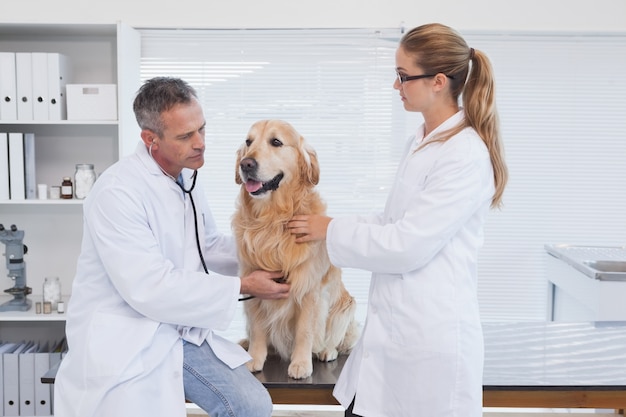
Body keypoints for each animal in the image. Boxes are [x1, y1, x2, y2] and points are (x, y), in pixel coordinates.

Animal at [233, 118, 356, 378]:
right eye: (248, 142)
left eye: (276, 142)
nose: (245, 163)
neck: (272, 220)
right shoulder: (254, 285)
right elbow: (258, 329)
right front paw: (255, 359)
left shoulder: (309, 289)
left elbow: (304, 331)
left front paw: (300, 364)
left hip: (346, 307)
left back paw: (326, 351)